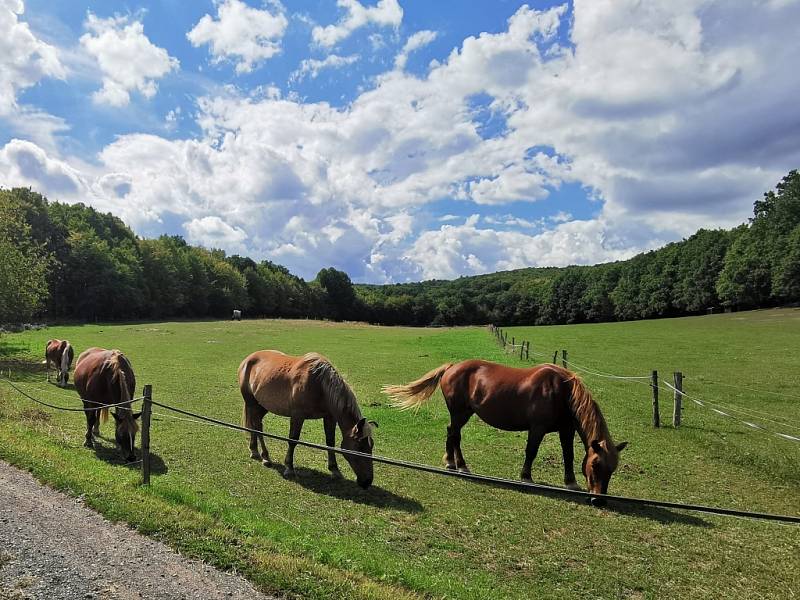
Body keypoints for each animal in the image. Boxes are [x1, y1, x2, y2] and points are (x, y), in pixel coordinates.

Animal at [239, 352, 376, 488]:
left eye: (371, 445)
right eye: (360, 446)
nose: (367, 481)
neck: (320, 385)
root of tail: (248, 359)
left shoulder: (329, 417)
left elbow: (330, 442)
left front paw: (335, 470)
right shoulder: (297, 416)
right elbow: (293, 440)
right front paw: (289, 468)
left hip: (262, 406)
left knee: (256, 425)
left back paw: (255, 451)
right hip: (251, 403)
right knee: (257, 427)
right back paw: (265, 457)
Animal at [384, 358, 628, 494]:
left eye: (612, 469)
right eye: (596, 465)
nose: (599, 499)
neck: (561, 391)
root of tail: (452, 367)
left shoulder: (566, 429)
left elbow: (568, 454)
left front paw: (571, 483)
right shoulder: (537, 428)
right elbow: (531, 451)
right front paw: (526, 477)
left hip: (462, 414)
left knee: (450, 433)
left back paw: (451, 462)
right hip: (460, 412)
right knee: (455, 436)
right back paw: (461, 465)